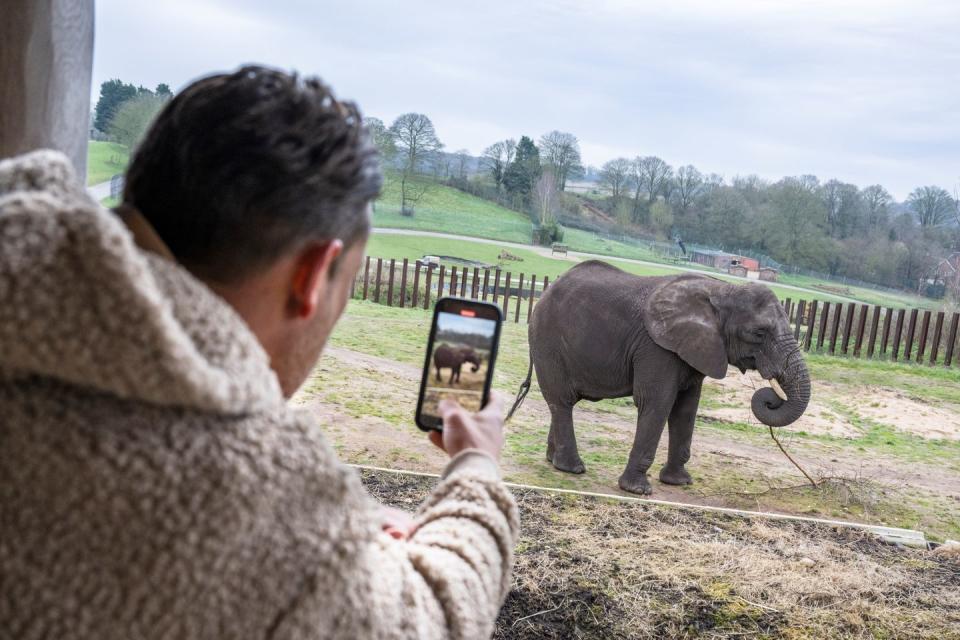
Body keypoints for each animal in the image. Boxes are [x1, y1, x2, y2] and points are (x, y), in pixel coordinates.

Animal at [510, 260, 808, 496]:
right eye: (759, 333)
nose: (770, 396)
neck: (723, 290)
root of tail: (545, 292)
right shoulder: (656, 347)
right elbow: (657, 402)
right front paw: (637, 490)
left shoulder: (695, 349)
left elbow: (686, 408)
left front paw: (679, 483)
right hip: (548, 342)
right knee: (562, 400)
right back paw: (571, 468)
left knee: (561, 403)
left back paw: (553, 460)